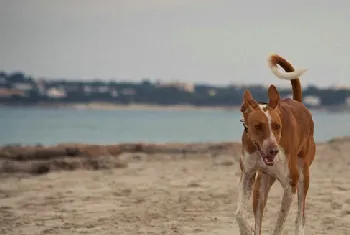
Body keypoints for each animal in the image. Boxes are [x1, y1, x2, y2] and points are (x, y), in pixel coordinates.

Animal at [235, 53, 318, 235]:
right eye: (258, 126)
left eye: (277, 126)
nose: (273, 151)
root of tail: (298, 103)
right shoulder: (248, 174)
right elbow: (239, 214)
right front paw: (246, 229)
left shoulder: (290, 185)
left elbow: (280, 223)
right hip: (261, 185)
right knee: (258, 217)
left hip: (303, 177)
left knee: (300, 217)